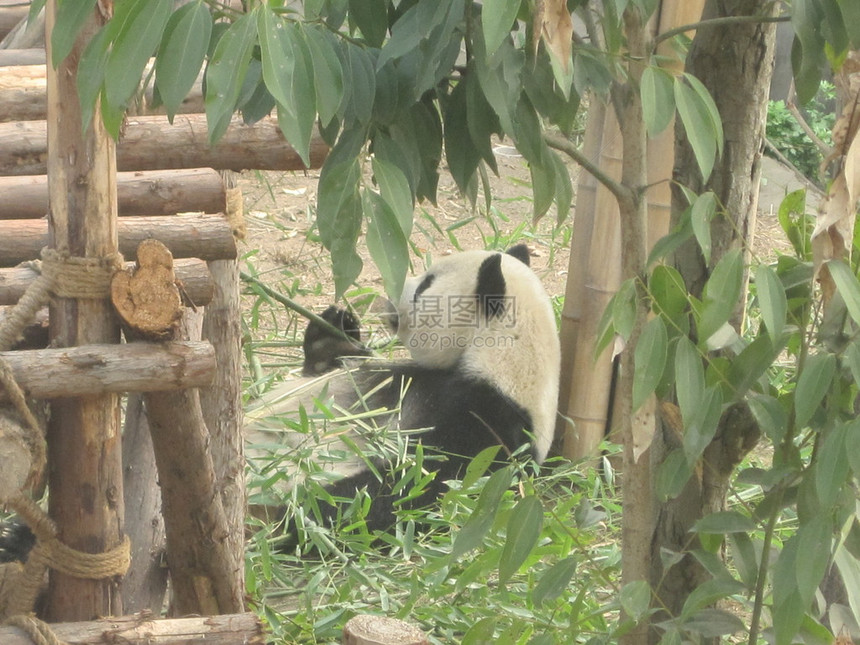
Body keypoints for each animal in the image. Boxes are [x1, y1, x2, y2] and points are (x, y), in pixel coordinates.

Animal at [245, 242, 560, 532]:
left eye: (425, 285)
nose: (389, 293)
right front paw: (333, 331)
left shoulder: (488, 423)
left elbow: (419, 484)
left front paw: (307, 514)